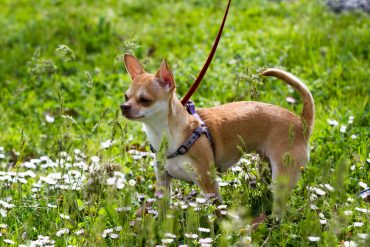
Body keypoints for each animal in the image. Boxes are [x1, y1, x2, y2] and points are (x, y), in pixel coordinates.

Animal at [121, 54, 316, 216]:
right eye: (126, 97)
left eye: (144, 100)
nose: (123, 107)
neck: (165, 134)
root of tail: (302, 122)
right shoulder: (163, 182)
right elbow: (162, 212)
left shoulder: (208, 183)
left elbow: (217, 212)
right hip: (266, 165)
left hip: (282, 176)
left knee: (279, 207)